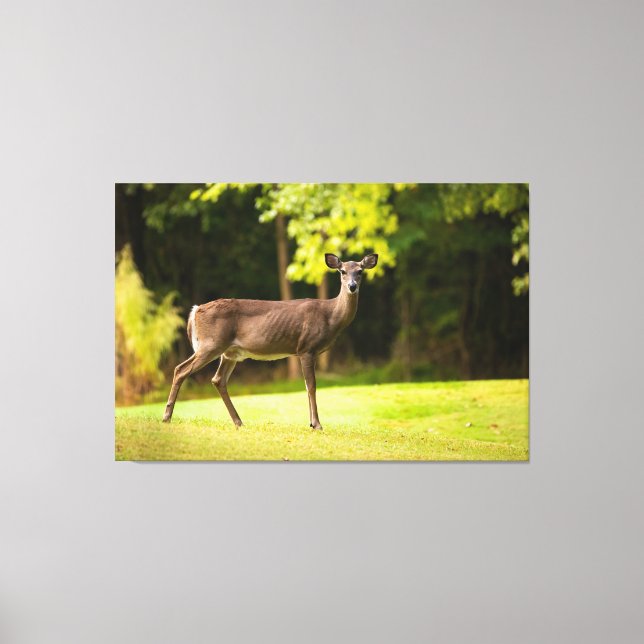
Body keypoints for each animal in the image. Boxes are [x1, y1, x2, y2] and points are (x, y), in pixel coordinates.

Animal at [162, 253, 378, 430]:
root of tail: (195, 310)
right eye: (342, 271)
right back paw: (166, 417)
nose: (352, 286)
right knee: (180, 370)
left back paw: (239, 422)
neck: (330, 316)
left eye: (360, 271)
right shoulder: (306, 348)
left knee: (218, 380)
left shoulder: (307, 351)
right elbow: (311, 385)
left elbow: (307, 386)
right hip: (211, 344)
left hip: (229, 352)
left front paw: (311, 423)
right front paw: (316, 424)